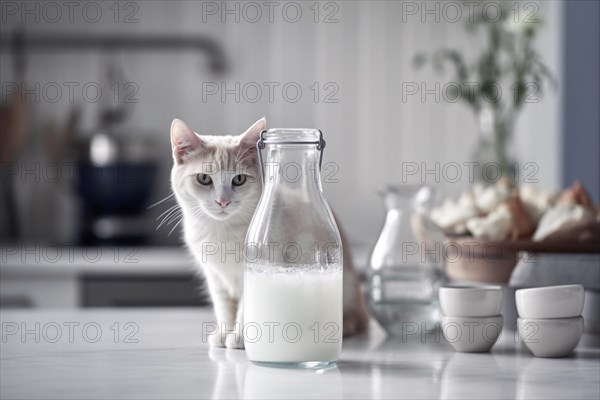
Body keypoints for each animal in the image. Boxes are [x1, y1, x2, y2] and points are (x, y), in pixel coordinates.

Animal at [170, 117, 370, 348]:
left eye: (239, 179)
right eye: (203, 178)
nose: (223, 201)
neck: (223, 230)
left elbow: (245, 308)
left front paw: (240, 337)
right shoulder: (215, 277)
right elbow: (224, 307)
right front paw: (224, 333)